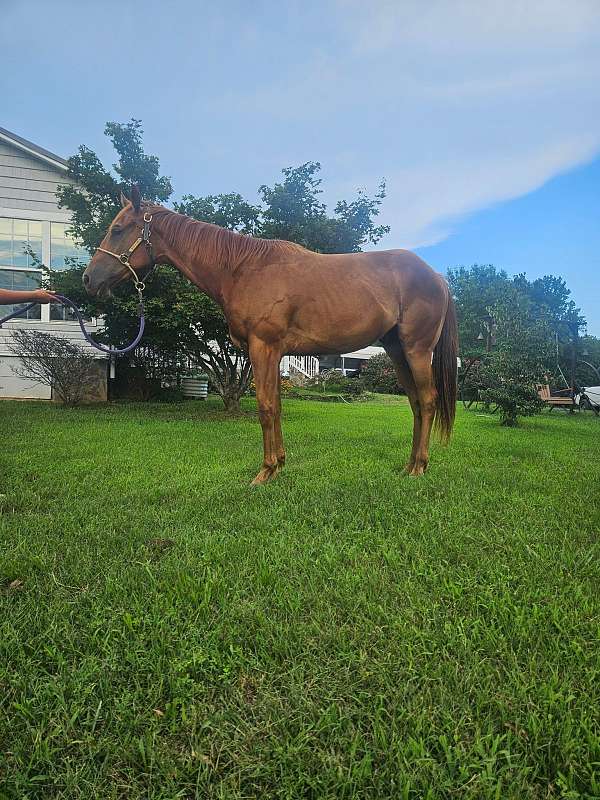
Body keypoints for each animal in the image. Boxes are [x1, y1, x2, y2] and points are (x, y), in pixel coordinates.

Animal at [83, 185, 458, 485]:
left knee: (427, 400)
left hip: (416, 350)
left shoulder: (263, 347)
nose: (89, 279)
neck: (242, 269)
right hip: (396, 351)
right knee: (415, 403)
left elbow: (264, 407)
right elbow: (275, 406)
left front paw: (264, 472)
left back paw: (419, 467)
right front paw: (279, 464)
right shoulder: (273, 352)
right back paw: (409, 465)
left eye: (118, 229)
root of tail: (436, 277)